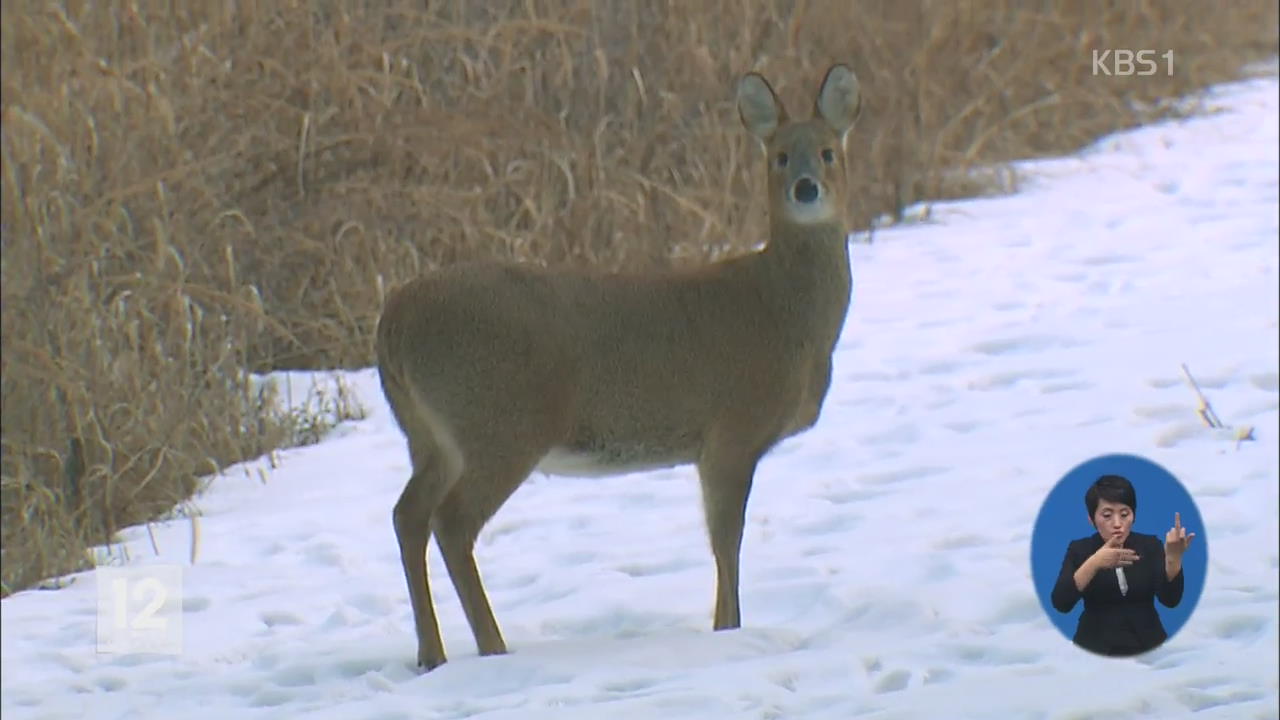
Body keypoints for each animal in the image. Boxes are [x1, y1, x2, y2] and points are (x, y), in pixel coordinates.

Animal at [373, 61, 865, 666]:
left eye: (827, 151)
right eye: (779, 155)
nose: (805, 187)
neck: (784, 313)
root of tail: (392, 321)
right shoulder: (733, 427)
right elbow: (727, 540)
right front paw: (729, 630)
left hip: (430, 435)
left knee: (408, 515)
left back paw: (431, 654)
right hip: (500, 421)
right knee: (452, 521)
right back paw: (493, 647)